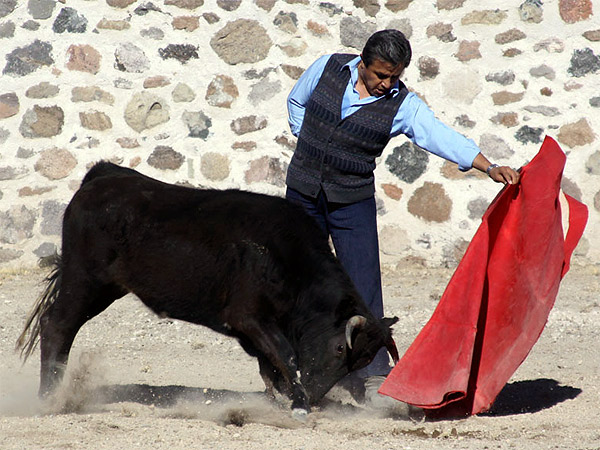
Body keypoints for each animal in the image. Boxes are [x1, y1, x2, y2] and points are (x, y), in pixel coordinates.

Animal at [16, 162, 398, 414]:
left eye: (363, 360)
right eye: (339, 349)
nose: (318, 397)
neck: (289, 260)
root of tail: (102, 178)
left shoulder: (254, 329)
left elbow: (271, 364)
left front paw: (282, 397)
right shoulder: (249, 317)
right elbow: (285, 354)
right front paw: (298, 402)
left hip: (105, 287)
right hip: (84, 279)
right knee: (57, 326)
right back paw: (51, 397)